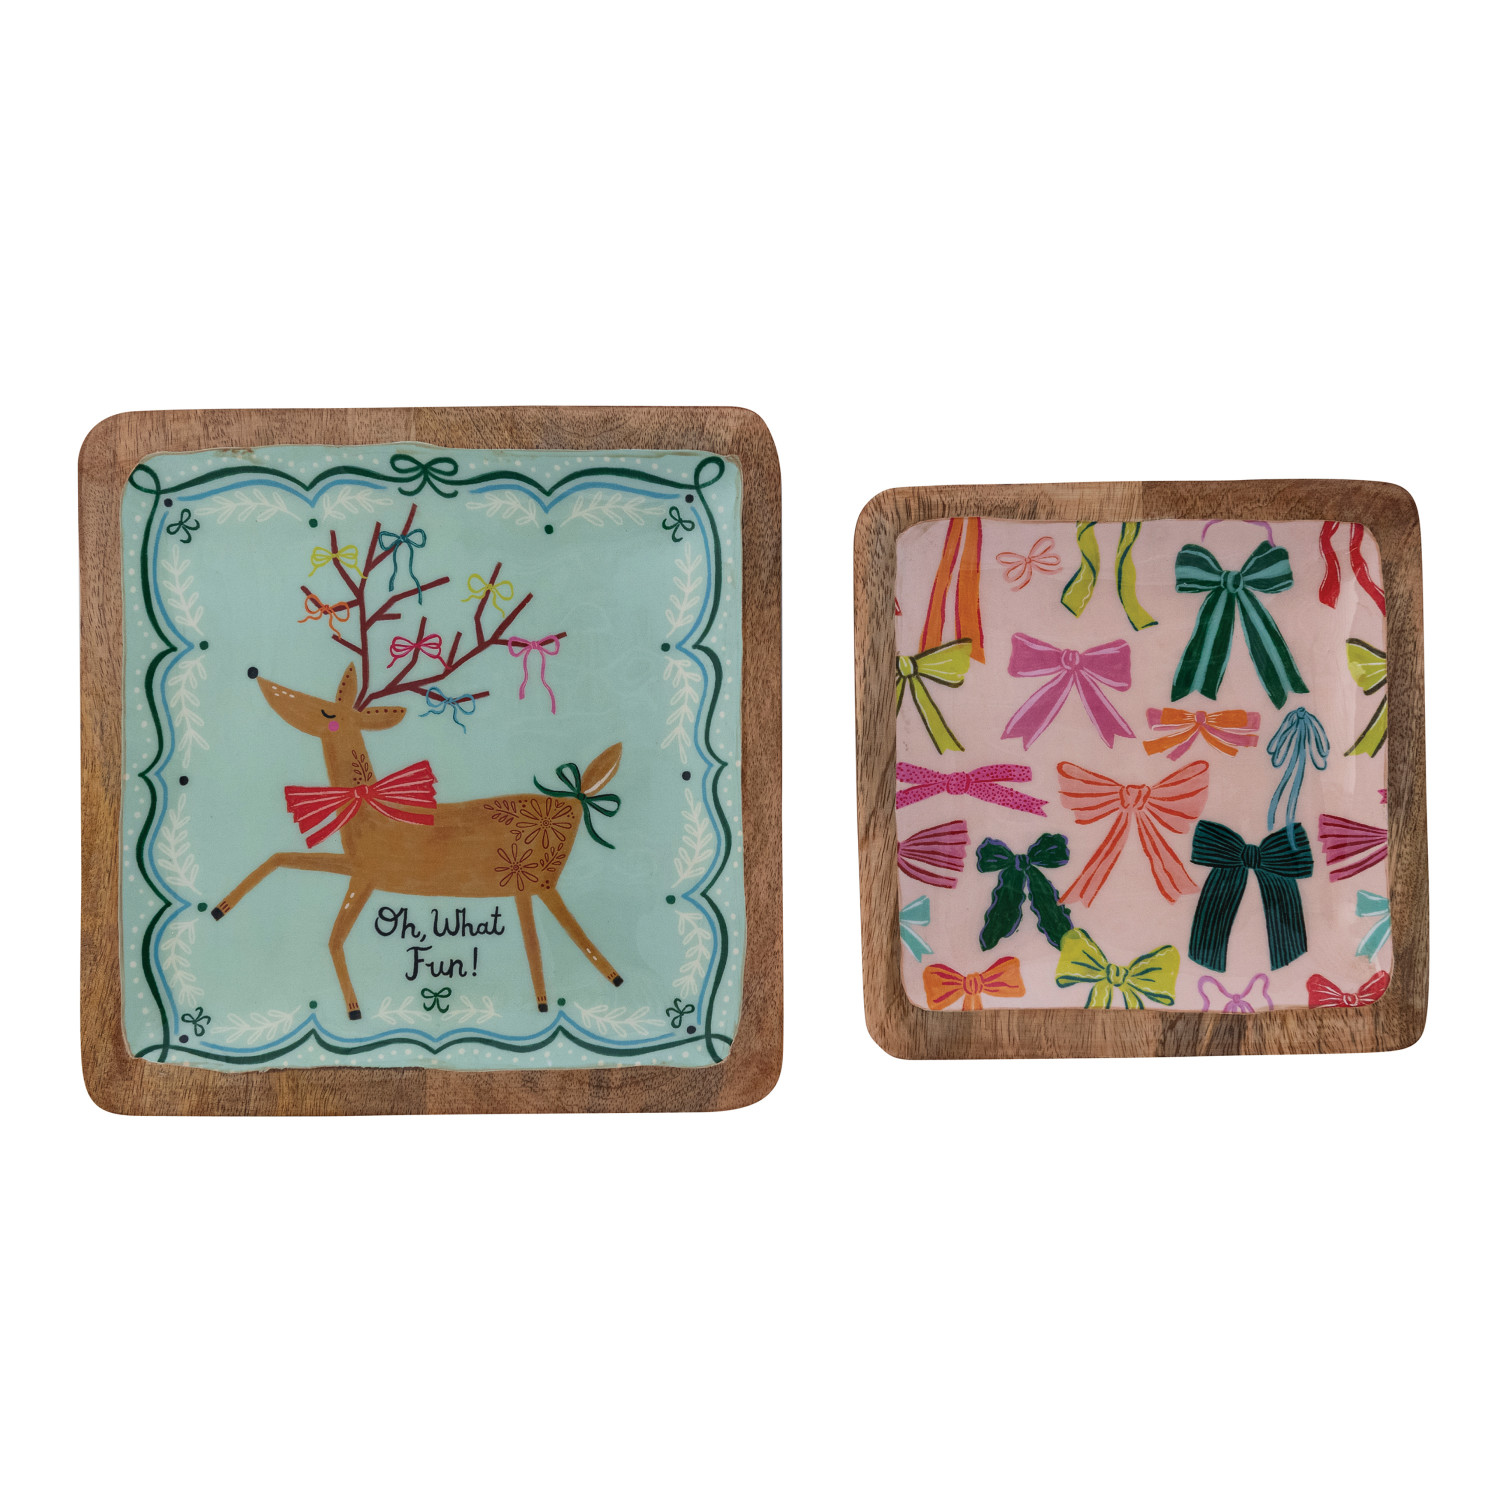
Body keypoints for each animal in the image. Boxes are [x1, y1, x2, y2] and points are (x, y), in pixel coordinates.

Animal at [209, 502, 624, 1020]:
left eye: (327, 711)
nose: (256, 676)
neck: (368, 808)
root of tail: (576, 797)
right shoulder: (356, 868)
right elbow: (281, 857)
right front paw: (220, 907)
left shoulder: (367, 875)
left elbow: (333, 938)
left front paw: (354, 1008)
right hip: (526, 886)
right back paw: (563, 995)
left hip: (534, 880)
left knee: (561, 936)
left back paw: (599, 985)